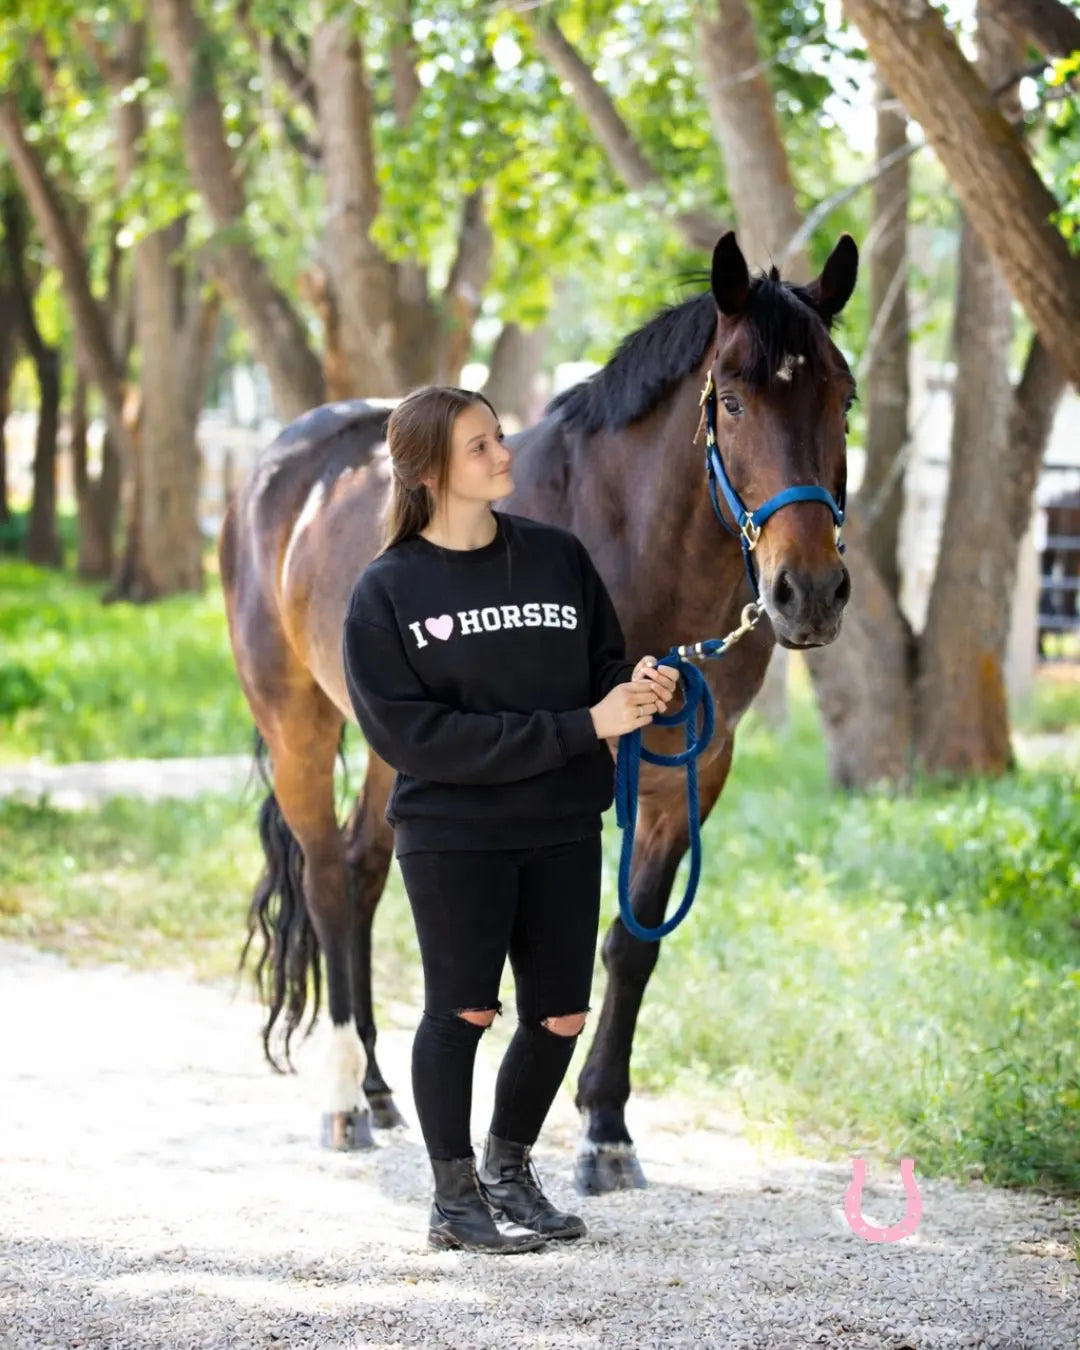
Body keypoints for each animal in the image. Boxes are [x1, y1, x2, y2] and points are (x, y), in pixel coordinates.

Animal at [219, 230, 859, 1192]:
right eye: (734, 401)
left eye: (843, 399)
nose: (809, 593)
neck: (631, 536)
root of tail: (276, 468)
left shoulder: (694, 770)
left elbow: (632, 944)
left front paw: (606, 1131)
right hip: (299, 724)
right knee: (329, 881)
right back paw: (340, 1101)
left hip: (395, 744)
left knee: (364, 869)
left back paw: (376, 1088)